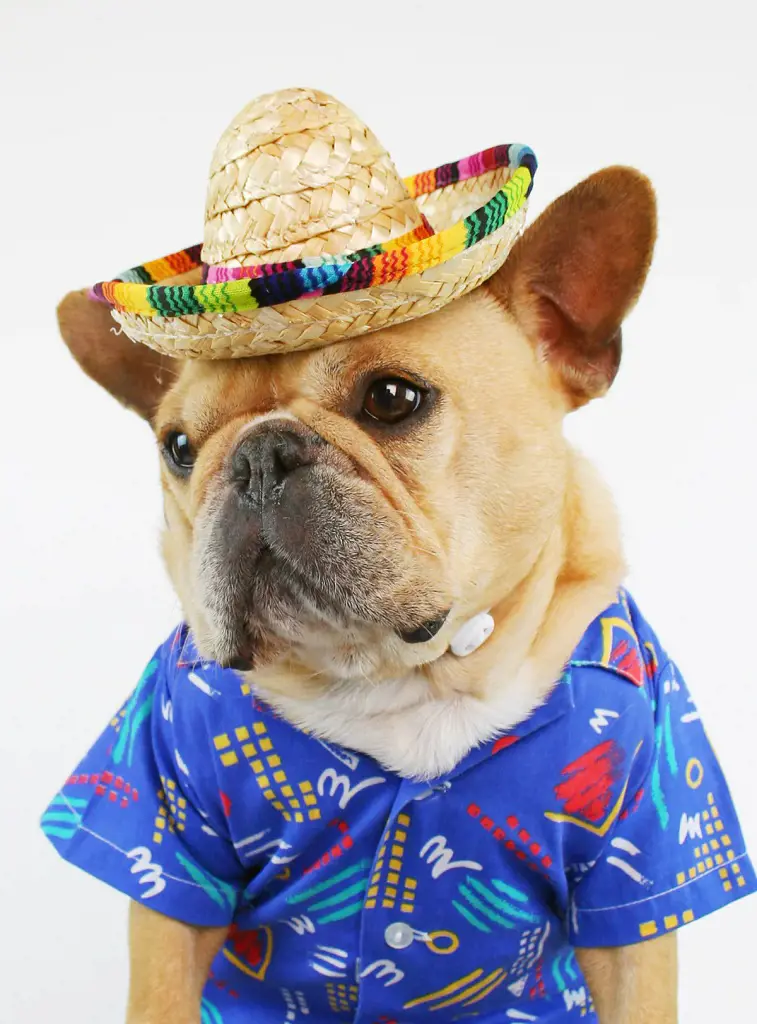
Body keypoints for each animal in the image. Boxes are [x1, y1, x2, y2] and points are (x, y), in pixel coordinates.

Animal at [44, 88, 753, 1024]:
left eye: (391, 398)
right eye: (179, 448)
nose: (257, 456)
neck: (403, 680)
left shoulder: (645, 853)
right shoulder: (166, 841)